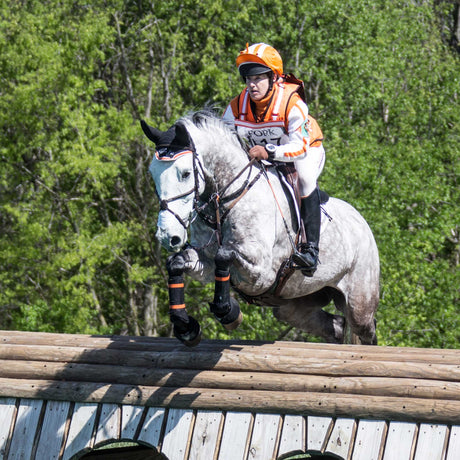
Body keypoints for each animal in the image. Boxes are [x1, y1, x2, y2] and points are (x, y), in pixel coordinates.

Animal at [142, 111, 380, 346]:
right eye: (152, 173)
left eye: (185, 174)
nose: (167, 236)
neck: (228, 199)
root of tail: (361, 222)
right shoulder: (206, 261)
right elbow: (177, 263)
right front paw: (186, 327)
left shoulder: (262, 274)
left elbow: (224, 255)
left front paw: (228, 312)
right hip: (293, 303)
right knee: (336, 327)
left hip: (359, 302)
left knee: (366, 331)